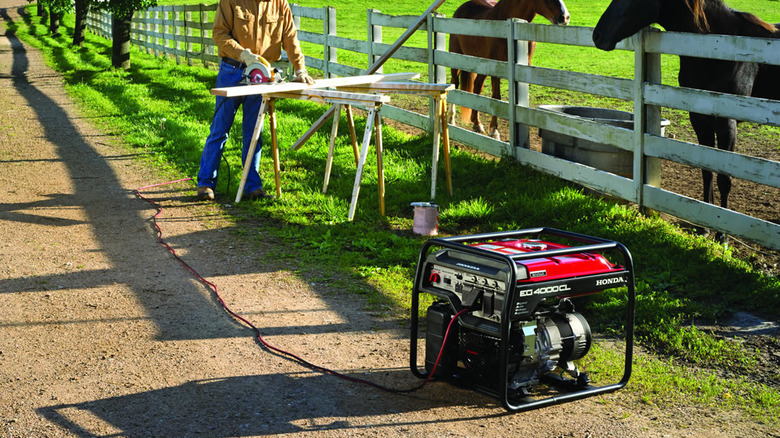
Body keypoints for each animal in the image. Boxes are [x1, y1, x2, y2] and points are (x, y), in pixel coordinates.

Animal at [448, 0, 568, 139]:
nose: (565, 17)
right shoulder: (495, 68)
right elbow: (496, 96)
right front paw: (494, 130)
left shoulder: (521, 70)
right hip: (457, 57)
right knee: (455, 83)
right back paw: (451, 119)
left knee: (477, 86)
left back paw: (477, 124)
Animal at [596, 0, 776, 224]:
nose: (597, 35)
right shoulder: (699, 118)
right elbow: (706, 171)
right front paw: (704, 226)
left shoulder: (727, 122)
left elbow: (724, 178)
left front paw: (721, 228)